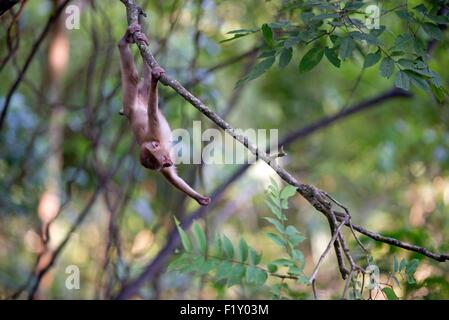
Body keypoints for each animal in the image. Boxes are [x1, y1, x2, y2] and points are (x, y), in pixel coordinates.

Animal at [118, 23, 211, 206]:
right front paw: (198, 197)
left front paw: (156, 81)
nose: (166, 163)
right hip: (139, 96)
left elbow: (152, 110)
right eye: (157, 165)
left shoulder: (155, 128)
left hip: (130, 100)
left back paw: (124, 42)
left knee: (132, 77)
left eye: (159, 159)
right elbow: (173, 178)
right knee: (144, 83)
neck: (156, 141)